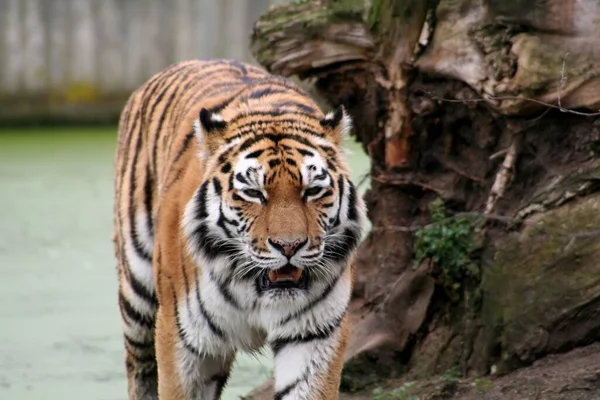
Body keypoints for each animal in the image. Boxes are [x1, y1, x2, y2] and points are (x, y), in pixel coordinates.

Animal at [112, 59, 366, 400]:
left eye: (312, 191)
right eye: (254, 193)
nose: (289, 246)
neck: (253, 288)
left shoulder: (314, 334)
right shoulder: (182, 338)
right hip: (138, 294)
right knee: (139, 367)